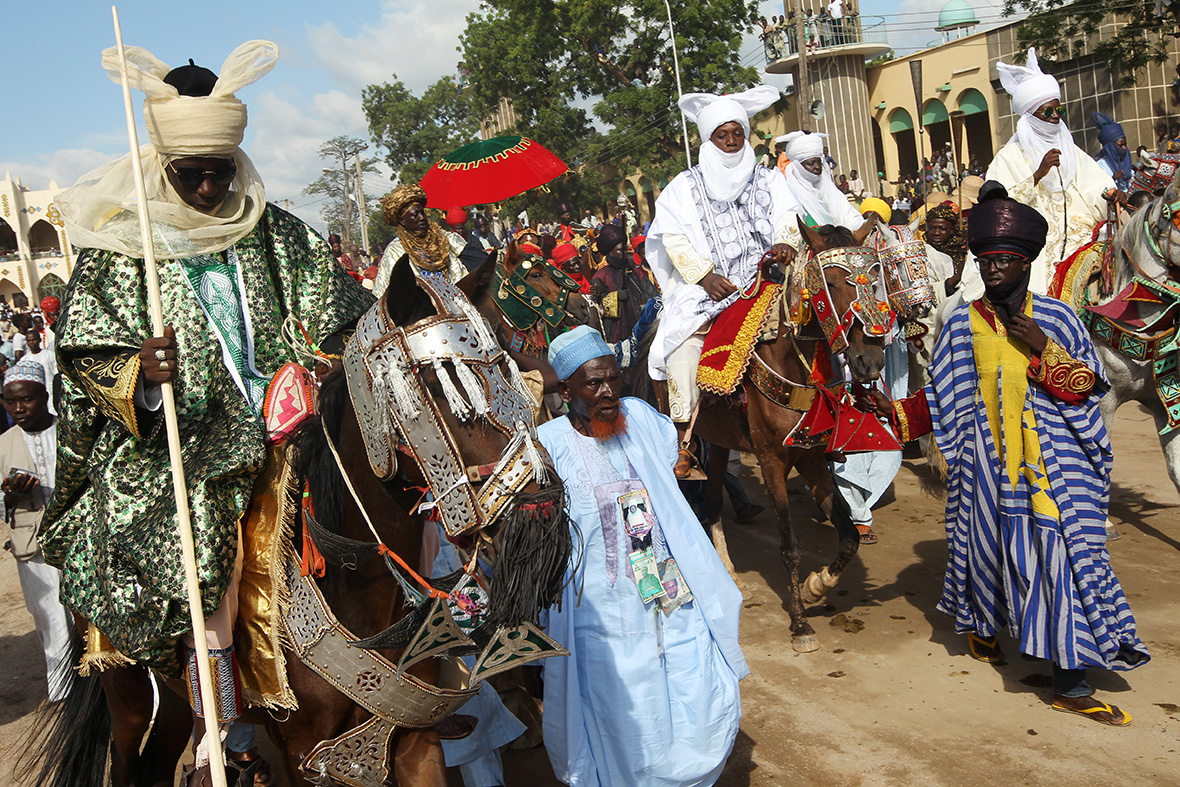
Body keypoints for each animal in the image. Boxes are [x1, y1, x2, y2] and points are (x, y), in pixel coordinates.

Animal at [29, 253, 573, 787]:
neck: (359, 595)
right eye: (440, 390)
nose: (542, 523)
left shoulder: (411, 740)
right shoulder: (304, 755)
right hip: (128, 697)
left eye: (505, 371)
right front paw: (153, 364)